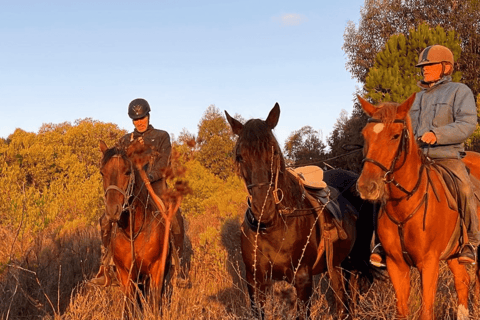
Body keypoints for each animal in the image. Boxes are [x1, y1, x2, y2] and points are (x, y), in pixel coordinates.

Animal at [99, 141, 184, 318]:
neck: (134, 229)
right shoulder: (125, 273)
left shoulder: (157, 269)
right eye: (102, 172)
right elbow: (130, 306)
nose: (112, 210)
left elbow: (155, 303)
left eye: (127, 172)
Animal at [225, 104, 376, 318]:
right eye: (240, 156)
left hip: (355, 259)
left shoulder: (303, 280)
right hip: (338, 264)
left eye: (274, 153)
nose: (264, 209)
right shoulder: (255, 282)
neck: (275, 227)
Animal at [354, 93, 480, 320]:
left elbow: (426, 311)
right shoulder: (396, 266)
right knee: (462, 282)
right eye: (365, 135)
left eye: (395, 136)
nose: (367, 186)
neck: (404, 205)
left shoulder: (428, 265)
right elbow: (402, 311)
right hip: (453, 256)